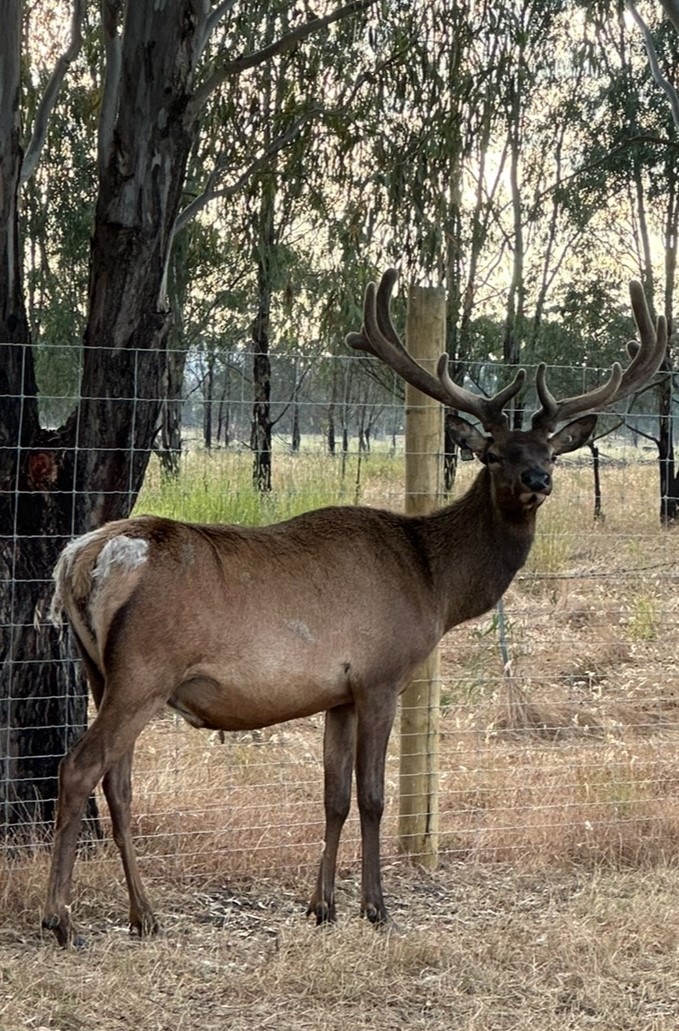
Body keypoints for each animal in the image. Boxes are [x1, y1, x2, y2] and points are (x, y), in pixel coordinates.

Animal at [43, 269, 666, 946]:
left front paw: (321, 905)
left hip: (99, 671)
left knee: (119, 782)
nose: (537, 482)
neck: (434, 583)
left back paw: (144, 914)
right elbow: (372, 796)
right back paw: (61, 918)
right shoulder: (380, 674)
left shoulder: (335, 693)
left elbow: (333, 796)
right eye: (494, 452)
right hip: (145, 670)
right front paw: (375, 905)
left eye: (551, 452)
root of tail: (78, 559)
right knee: (79, 767)